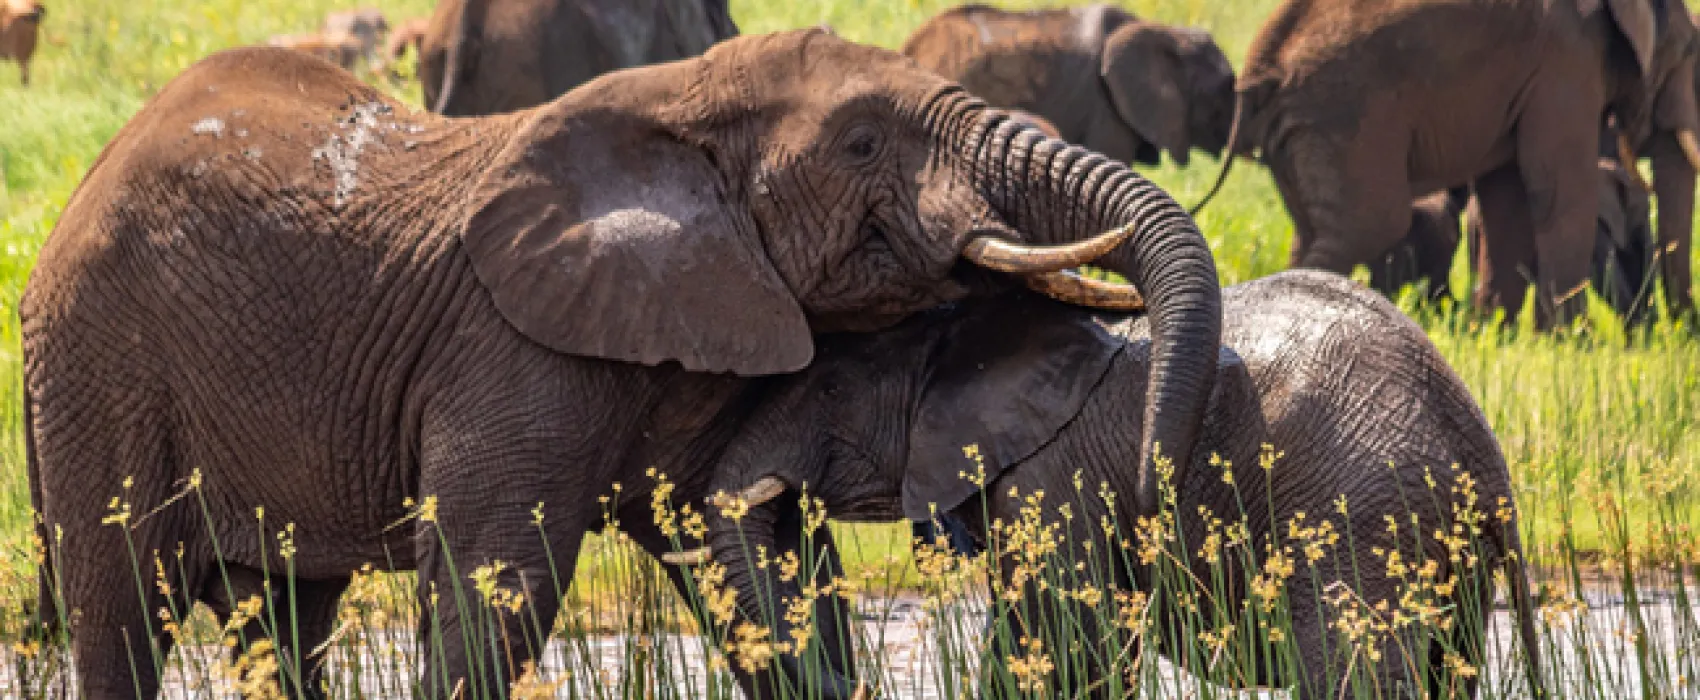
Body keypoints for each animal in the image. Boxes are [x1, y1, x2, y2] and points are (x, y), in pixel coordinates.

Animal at [21, 29, 1223, 698]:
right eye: (863, 143)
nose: (1152, 481)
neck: (676, 101)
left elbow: (758, 552)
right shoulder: (511, 347)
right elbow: (495, 585)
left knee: (281, 614)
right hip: (99, 366)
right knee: (121, 610)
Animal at [697, 270, 1541, 698]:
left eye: (832, 387)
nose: (854, 684)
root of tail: (1477, 446)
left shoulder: (1052, 479)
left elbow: (1063, 645)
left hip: (1355, 515)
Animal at [1197, 0, 1700, 329]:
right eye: (1689, 53)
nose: (1680, 334)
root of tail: (1255, 73)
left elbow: (1506, 198)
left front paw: (1495, 334)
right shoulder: (1567, 61)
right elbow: (1559, 190)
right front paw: (1573, 341)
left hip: (1302, 131)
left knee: (1313, 231)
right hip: (1342, 116)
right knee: (1371, 223)